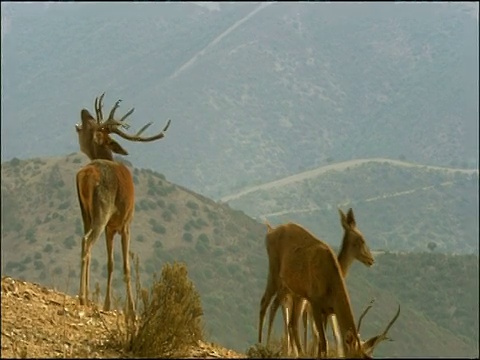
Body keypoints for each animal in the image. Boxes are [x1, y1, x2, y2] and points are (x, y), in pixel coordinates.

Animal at [74, 93, 172, 316]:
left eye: (91, 122)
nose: (84, 111)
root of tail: (86, 174)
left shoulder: (111, 228)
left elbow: (110, 263)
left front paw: (107, 304)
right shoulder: (126, 224)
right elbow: (126, 267)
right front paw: (132, 311)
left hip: (86, 214)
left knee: (85, 242)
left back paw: (85, 295)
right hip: (102, 211)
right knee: (87, 241)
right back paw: (82, 296)